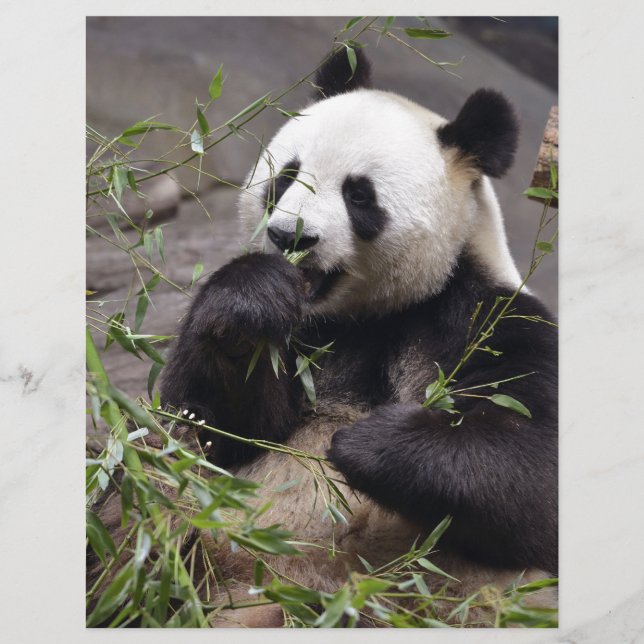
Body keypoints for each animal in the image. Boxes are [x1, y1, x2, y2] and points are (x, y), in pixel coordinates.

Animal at [160, 48, 558, 627]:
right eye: (287, 176)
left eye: (359, 195)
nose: (290, 237)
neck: (363, 315)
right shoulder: (305, 334)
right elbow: (220, 429)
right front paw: (249, 300)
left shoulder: (482, 318)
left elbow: (535, 469)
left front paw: (362, 442)